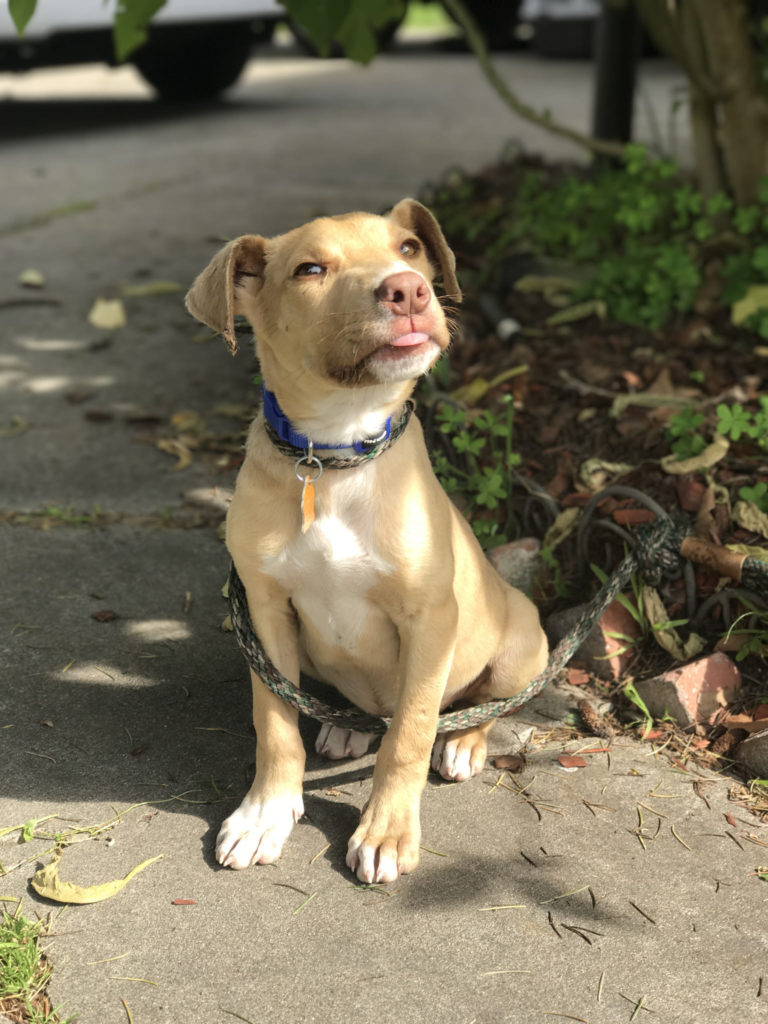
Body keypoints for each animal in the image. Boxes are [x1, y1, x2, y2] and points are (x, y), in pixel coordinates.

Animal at [185, 197, 548, 880]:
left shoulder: (430, 621)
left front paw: (387, 831)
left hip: (522, 642)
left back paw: (463, 743)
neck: (334, 457)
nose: (408, 289)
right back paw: (348, 726)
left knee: (488, 704)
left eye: (409, 249)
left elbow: (409, 733)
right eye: (309, 269)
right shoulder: (265, 613)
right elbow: (275, 722)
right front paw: (265, 814)